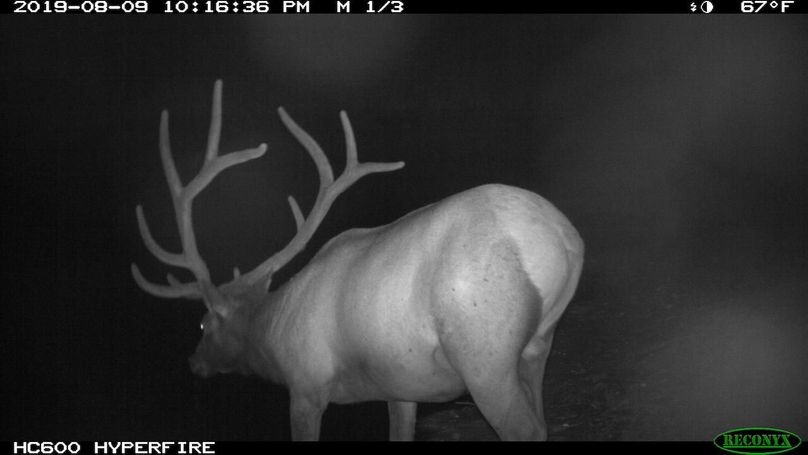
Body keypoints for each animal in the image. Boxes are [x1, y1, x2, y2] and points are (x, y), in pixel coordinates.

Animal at [131, 80, 584, 441]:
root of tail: (562, 236)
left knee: (523, 429)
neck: (271, 338)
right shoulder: (401, 386)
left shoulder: (306, 385)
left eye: (203, 324)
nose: (194, 362)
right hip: (538, 344)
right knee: (542, 423)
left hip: (484, 351)